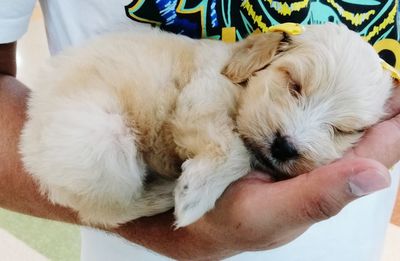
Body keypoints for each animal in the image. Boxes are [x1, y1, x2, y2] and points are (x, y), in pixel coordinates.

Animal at [18, 22, 394, 226]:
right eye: (293, 84)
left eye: (344, 129)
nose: (284, 146)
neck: (242, 88)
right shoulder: (200, 99)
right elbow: (235, 151)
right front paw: (195, 193)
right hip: (103, 139)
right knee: (105, 209)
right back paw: (163, 193)